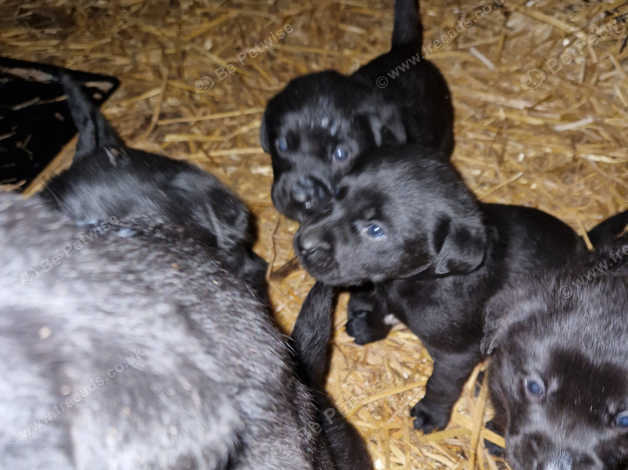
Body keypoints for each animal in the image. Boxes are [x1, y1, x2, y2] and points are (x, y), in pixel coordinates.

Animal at [294, 145, 628, 436]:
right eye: (337, 195)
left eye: (375, 229)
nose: (303, 243)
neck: (420, 279)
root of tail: (584, 244)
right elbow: (380, 306)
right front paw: (367, 326)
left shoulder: (457, 355)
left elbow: (441, 384)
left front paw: (431, 415)